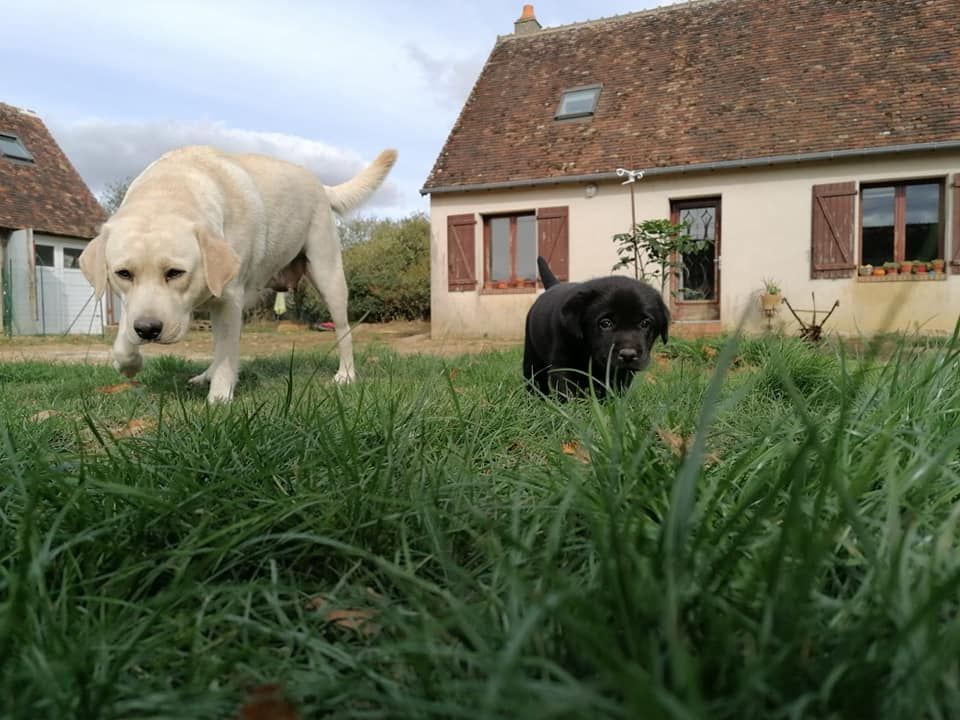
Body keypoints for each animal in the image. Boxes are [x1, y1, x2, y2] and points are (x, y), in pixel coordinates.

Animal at [79, 145, 398, 404]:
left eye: (175, 273)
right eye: (123, 273)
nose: (147, 330)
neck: (170, 187)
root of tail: (320, 184)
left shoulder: (229, 298)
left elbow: (226, 356)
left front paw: (220, 398)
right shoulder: (135, 304)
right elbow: (124, 340)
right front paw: (129, 363)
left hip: (327, 275)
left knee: (343, 331)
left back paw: (345, 375)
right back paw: (206, 374)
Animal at [524, 256, 668, 400]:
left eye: (645, 323)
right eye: (605, 323)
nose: (628, 355)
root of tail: (555, 285)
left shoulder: (622, 372)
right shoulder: (563, 364)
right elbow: (566, 390)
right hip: (532, 355)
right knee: (534, 378)